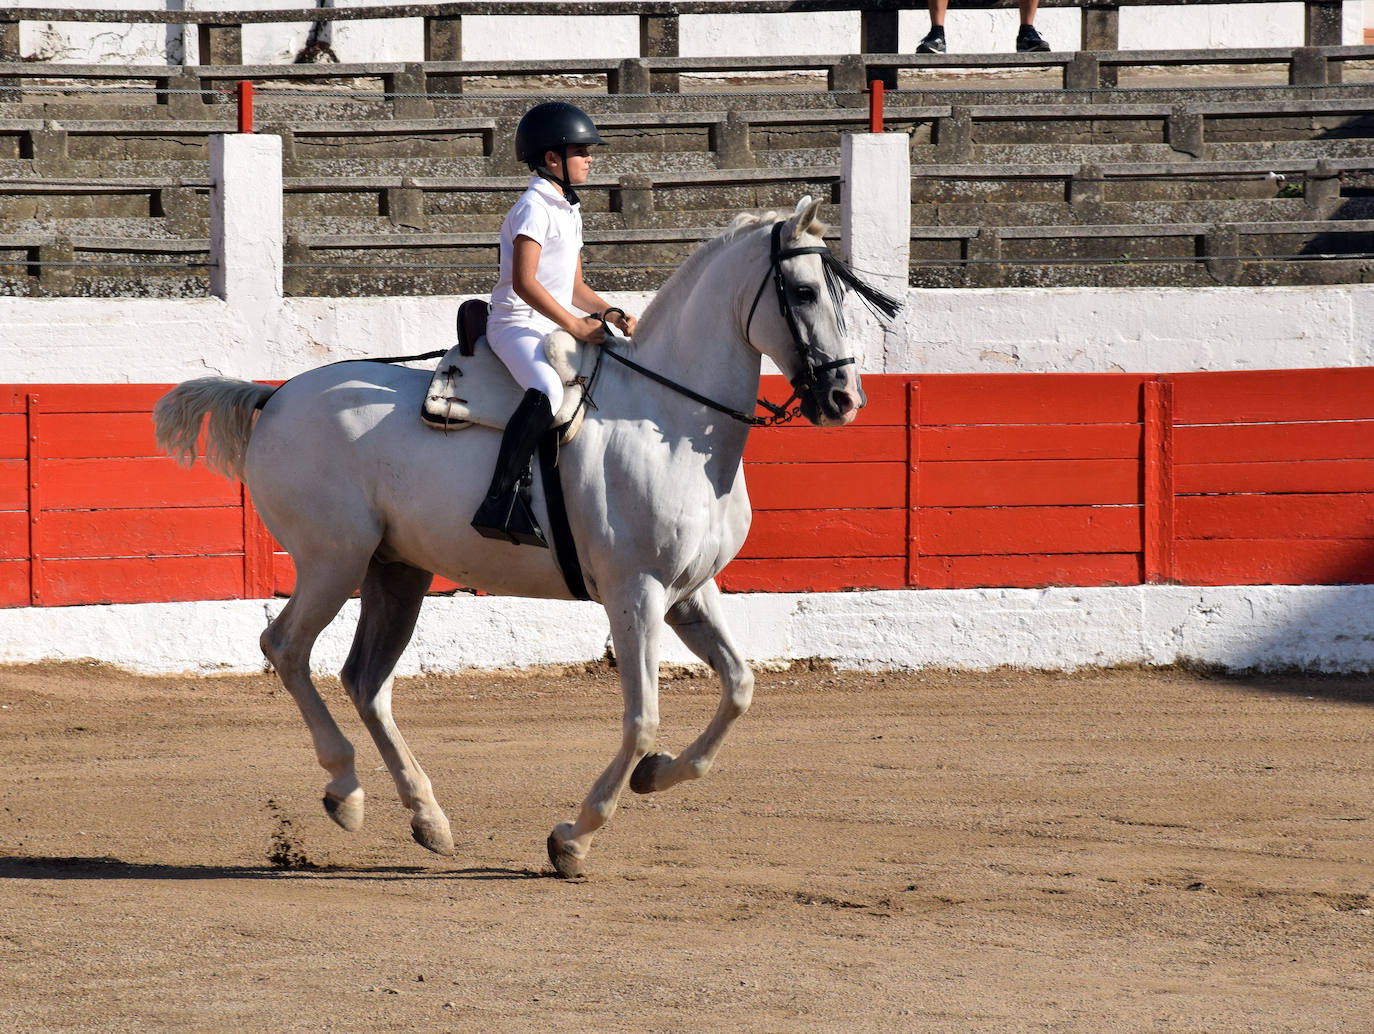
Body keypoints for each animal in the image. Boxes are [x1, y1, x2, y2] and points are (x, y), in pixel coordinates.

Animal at [155, 193, 895, 873]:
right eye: (803, 291)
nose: (846, 400)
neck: (668, 417)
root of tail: (276, 395)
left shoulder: (688, 592)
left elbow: (739, 688)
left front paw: (656, 775)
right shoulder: (636, 594)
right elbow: (642, 717)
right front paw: (574, 836)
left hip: (397, 571)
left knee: (365, 680)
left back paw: (428, 818)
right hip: (331, 562)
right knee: (285, 648)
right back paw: (346, 790)